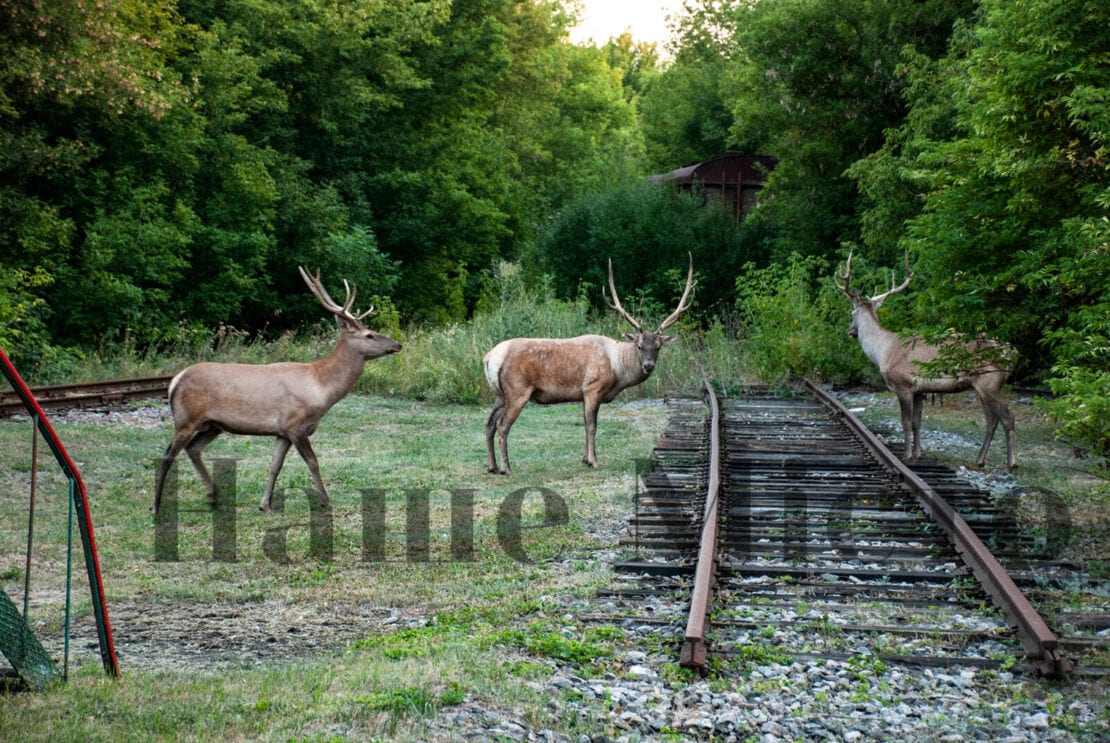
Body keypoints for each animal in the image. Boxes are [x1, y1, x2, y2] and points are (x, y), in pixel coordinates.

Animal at [154, 263, 401, 513]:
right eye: (369, 335)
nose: (398, 344)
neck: (321, 388)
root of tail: (175, 380)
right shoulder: (295, 425)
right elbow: (313, 462)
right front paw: (326, 502)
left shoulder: (282, 431)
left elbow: (275, 465)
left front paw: (266, 504)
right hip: (186, 418)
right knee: (168, 454)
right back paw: (156, 505)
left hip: (212, 424)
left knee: (193, 449)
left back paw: (213, 496)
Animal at [483, 255, 692, 475]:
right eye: (639, 345)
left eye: (658, 347)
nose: (649, 366)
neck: (617, 369)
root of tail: (491, 357)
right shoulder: (593, 387)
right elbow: (592, 425)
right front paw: (593, 461)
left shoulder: (583, 394)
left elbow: (584, 424)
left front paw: (584, 459)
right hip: (518, 390)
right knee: (502, 425)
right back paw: (506, 468)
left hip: (500, 394)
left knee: (489, 423)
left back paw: (492, 466)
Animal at [839, 252, 1016, 466]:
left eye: (851, 313)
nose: (850, 332)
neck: (882, 351)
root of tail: (1010, 352)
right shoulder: (919, 389)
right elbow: (917, 422)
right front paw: (918, 453)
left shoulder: (903, 384)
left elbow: (906, 422)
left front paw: (906, 455)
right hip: (984, 385)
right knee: (992, 421)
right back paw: (979, 460)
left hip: (990, 381)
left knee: (1007, 418)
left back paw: (1012, 463)